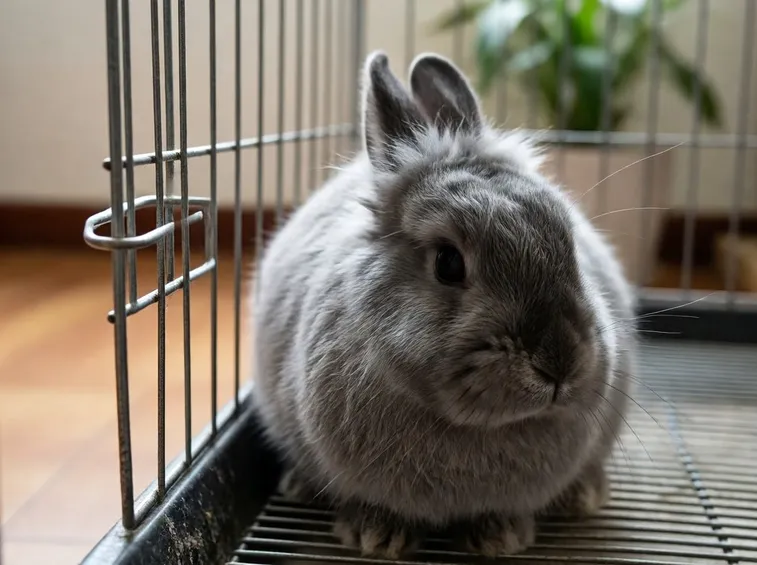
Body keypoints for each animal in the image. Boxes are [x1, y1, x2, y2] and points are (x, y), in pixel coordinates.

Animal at [251, 50, 636, 559]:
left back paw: (584, 496)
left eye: (567, 237)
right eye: (449, 263)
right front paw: (376, 537)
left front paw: (501, 538)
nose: (559, 364)